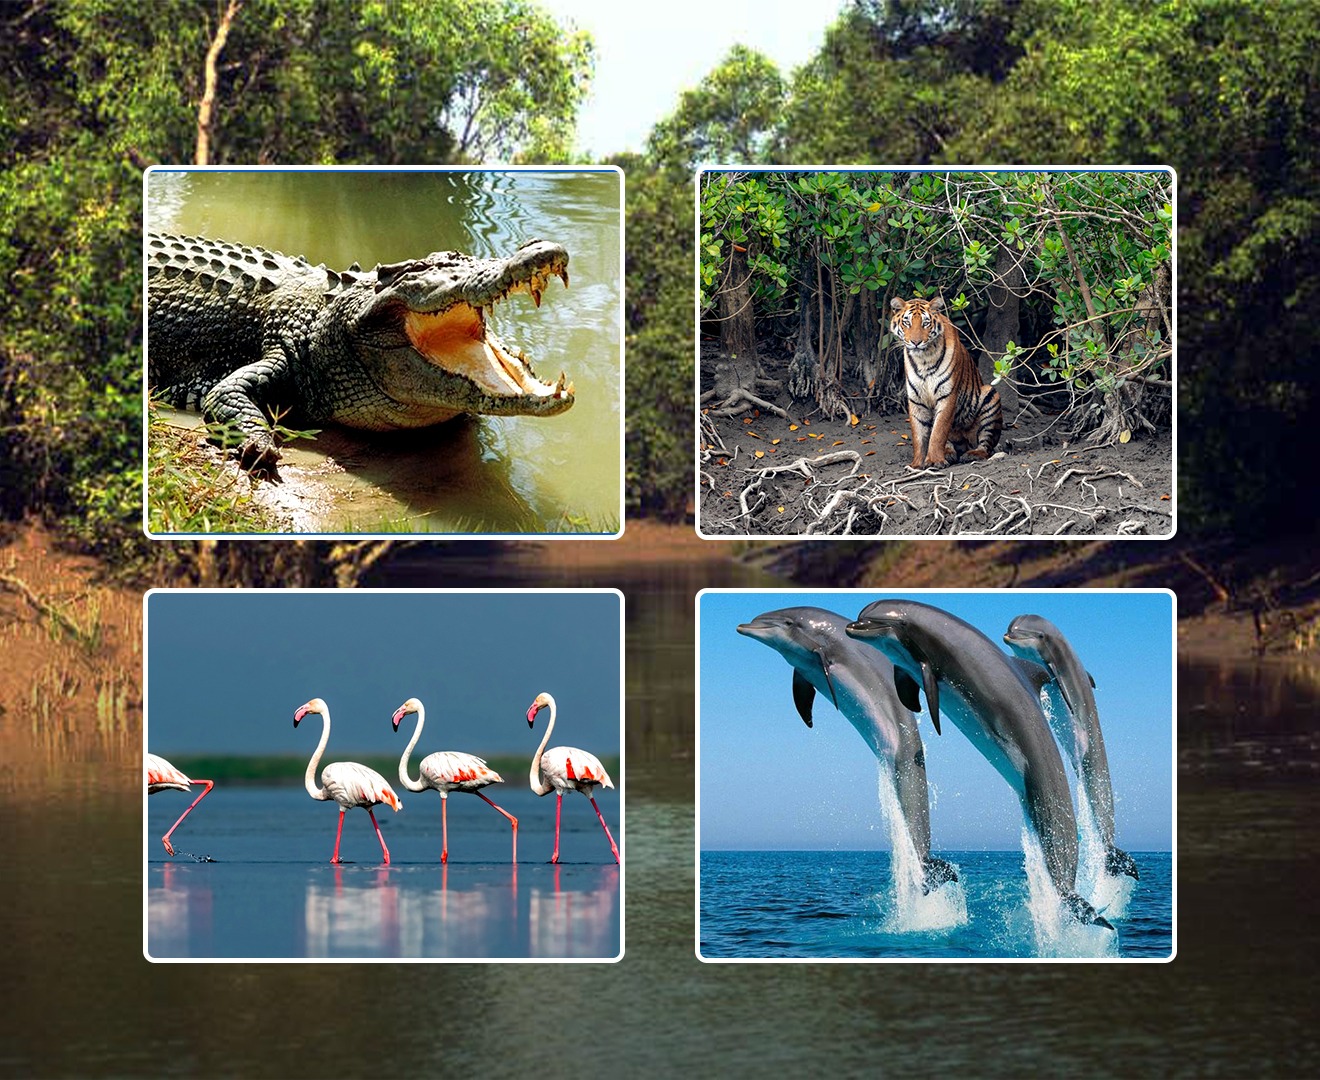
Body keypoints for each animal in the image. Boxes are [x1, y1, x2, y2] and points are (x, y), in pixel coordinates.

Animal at [889, 295, 1002, 469]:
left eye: (925, 323)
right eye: (907, 322)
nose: (916, 342)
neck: (923, 359)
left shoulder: (947, 395)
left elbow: (938, 431)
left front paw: (934, 460)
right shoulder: (916, 400)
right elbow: (918, 435)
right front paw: (916, 464)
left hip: (990, 394)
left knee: (985, 444)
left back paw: (972, 454)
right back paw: (949, 453)